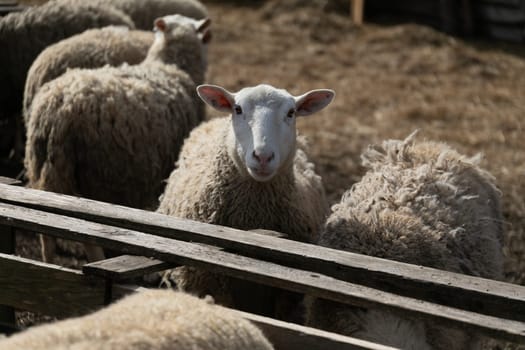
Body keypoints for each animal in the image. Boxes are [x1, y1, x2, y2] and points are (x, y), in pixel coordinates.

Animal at [24, 15, 209, 264]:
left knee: (48, 233)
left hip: (44, 165)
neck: (171, 65)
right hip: (100, 175)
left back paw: (49, 261)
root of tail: (57, 109)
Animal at [158, 83, 334, 318]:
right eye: (238, 109)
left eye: (291, 112)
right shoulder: (209, 285)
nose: (263, 157)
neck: (253, 214)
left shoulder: (286, 298)